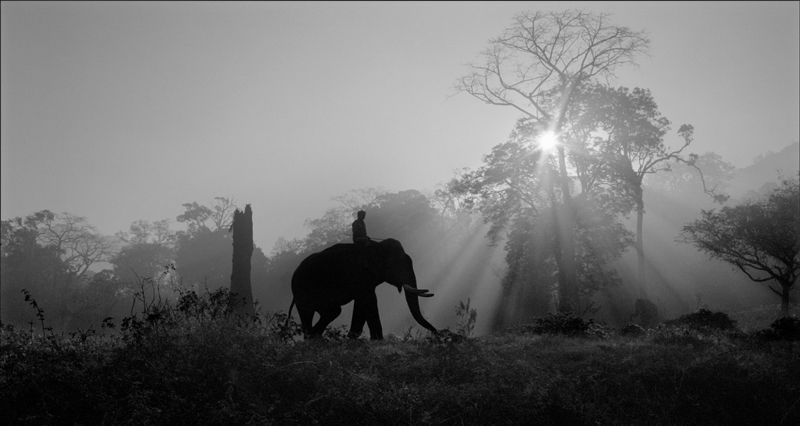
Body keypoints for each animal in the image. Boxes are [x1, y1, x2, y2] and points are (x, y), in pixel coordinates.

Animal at [288, 238, 438, 342]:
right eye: (397, 265)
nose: (436, 333)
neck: (376, 246)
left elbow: (363, 302)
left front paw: (353, 337)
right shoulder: (358, 275)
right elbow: (369, 300)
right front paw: (378, 340)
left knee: (330, 312)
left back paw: (316, 338)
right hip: (304, 291)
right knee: (322, 312)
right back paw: (313, 338)